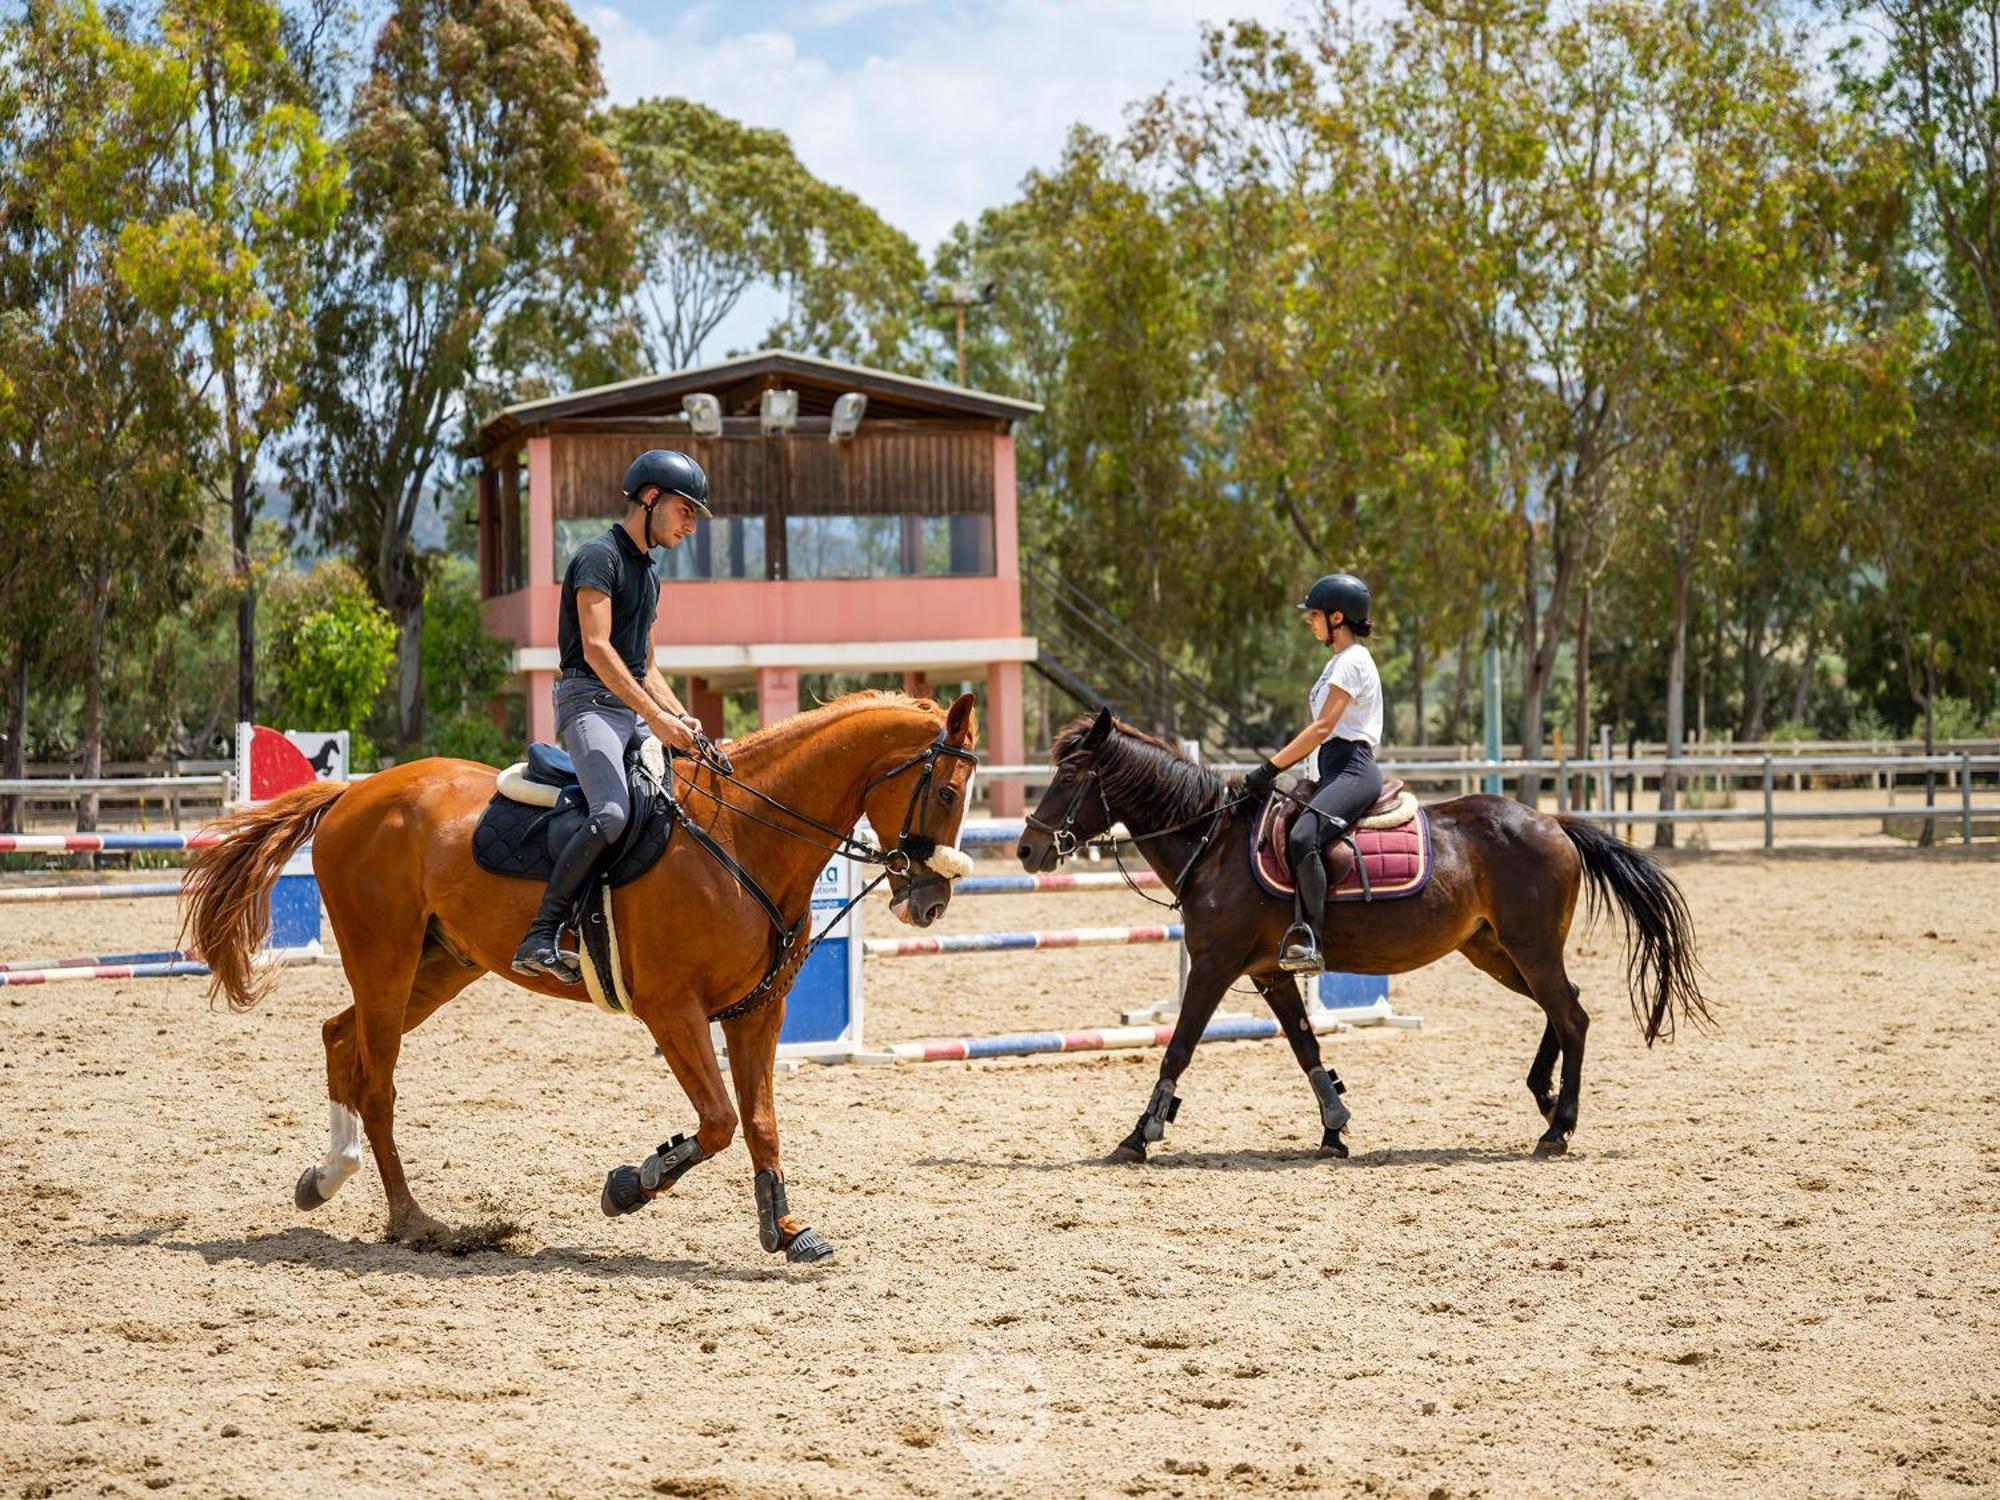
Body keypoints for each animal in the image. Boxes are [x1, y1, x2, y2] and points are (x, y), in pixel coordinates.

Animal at [184, 700, 980, 1264]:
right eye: (944, 793)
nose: (930, 903)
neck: (744, 834)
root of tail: (351, 795)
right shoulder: (672, 1011)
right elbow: (718, 1121)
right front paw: (630, 1186)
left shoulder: (758, 1013)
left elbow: (759, 1124)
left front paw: (787, 1231)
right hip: (385, 957)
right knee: (376, 1079)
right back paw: (416, 1223)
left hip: (439, 966)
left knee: (339, 1037)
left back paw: (326, 1178)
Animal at [1024, 712, 1712, 1160]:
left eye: (1070, 776)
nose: (1028, 849)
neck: (1212, 839)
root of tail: (1553, 821)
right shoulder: (1269, 973)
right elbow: (1306, 1047)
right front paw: (1334, 1128)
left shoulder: (1215, 965)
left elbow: (1178, 1049)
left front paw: (1139, 1136)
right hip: (1495, 951)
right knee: (1563, 1009)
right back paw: (1543, 1100)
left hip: (1529, 945)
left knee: (1570, 1014)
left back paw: (1558, 1127)